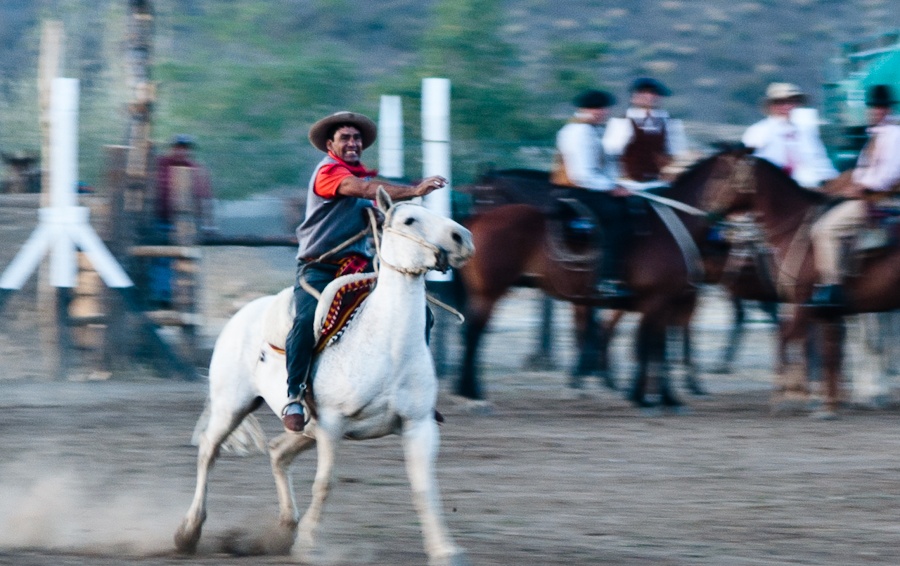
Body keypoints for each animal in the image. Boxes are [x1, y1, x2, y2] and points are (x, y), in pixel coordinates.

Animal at [171, 191, 474, 566]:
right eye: (409, 220)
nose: (463, 238)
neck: (387, 343)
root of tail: (241, 315)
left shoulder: (418, 424)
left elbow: (424, 486)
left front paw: (445, 550)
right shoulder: (332, 423)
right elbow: (325, 482)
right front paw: (309, 547)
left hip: (303, 428)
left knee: (277, 452)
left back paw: (286, 528)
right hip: (233, 405)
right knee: (208, 453)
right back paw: (188, 533)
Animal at [704, 151, 900, 418]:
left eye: (721, 175)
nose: (706, 210)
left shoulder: (803, 301)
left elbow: (791, 338)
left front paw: (787, 396)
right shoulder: (823, 310)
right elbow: (828, 351)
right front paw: (828, 403)